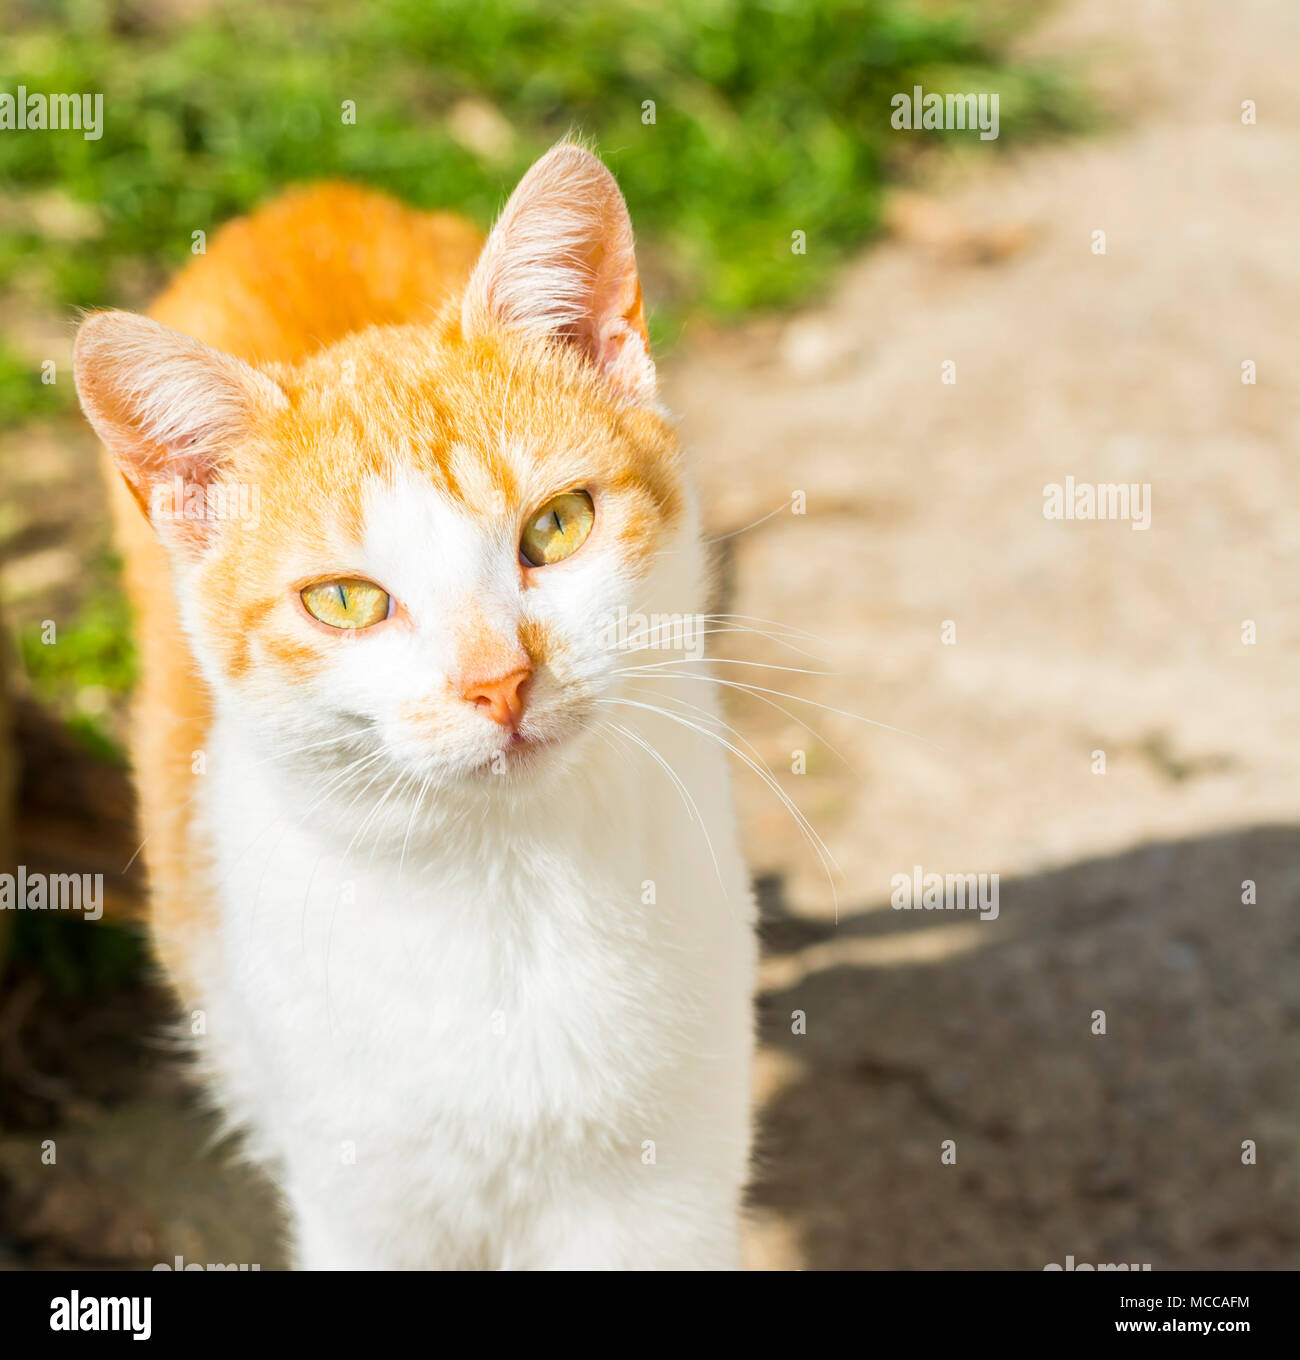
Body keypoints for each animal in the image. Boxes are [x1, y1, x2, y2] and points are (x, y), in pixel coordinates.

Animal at [73, 143, 761, 1267]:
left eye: (557, 525)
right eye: (345, 601)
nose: (498, 679)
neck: (510, 887)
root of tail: (311, 197)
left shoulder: (662, 1193)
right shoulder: (365, 1203)